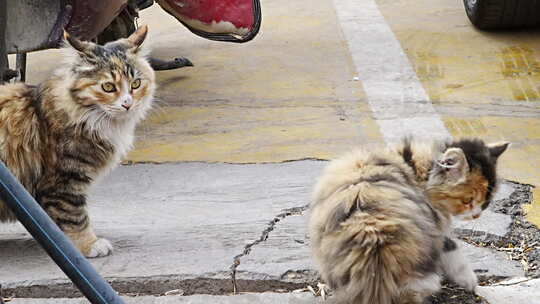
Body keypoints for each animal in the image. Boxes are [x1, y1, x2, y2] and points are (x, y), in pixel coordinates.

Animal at [0, 25, 154, 256]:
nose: (128, 104)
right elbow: (75, 217)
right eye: (108, 87)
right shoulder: (64, 181)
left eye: (135, 84)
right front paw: (88, 245)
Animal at [310, 138, 508, 304]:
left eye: (486, 202)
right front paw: (470, 280)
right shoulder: (436, 225)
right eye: (468, 201)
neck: (418, 168)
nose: (477, 215)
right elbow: (452, 247)